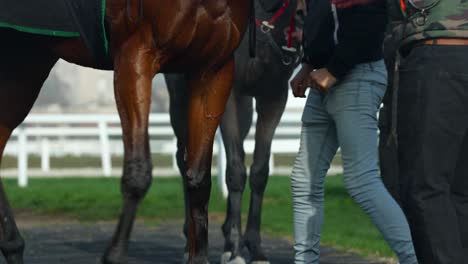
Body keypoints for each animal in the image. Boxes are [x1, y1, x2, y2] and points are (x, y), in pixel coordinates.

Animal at [0, 0, 252, 264]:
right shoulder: (136, 54)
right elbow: (138, 171)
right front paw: (115, 255)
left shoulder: (214, 68)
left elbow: (199, 177)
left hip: (27, 61)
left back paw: (13, 247)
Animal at [165, 1, 304, 262]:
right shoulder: (229, 95)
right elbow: (235, 170)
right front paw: (237, 249)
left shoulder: (273, 97)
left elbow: (259, 170)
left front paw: (254, 247)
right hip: (180, 98)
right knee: (183, 157)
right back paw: (189, 240)